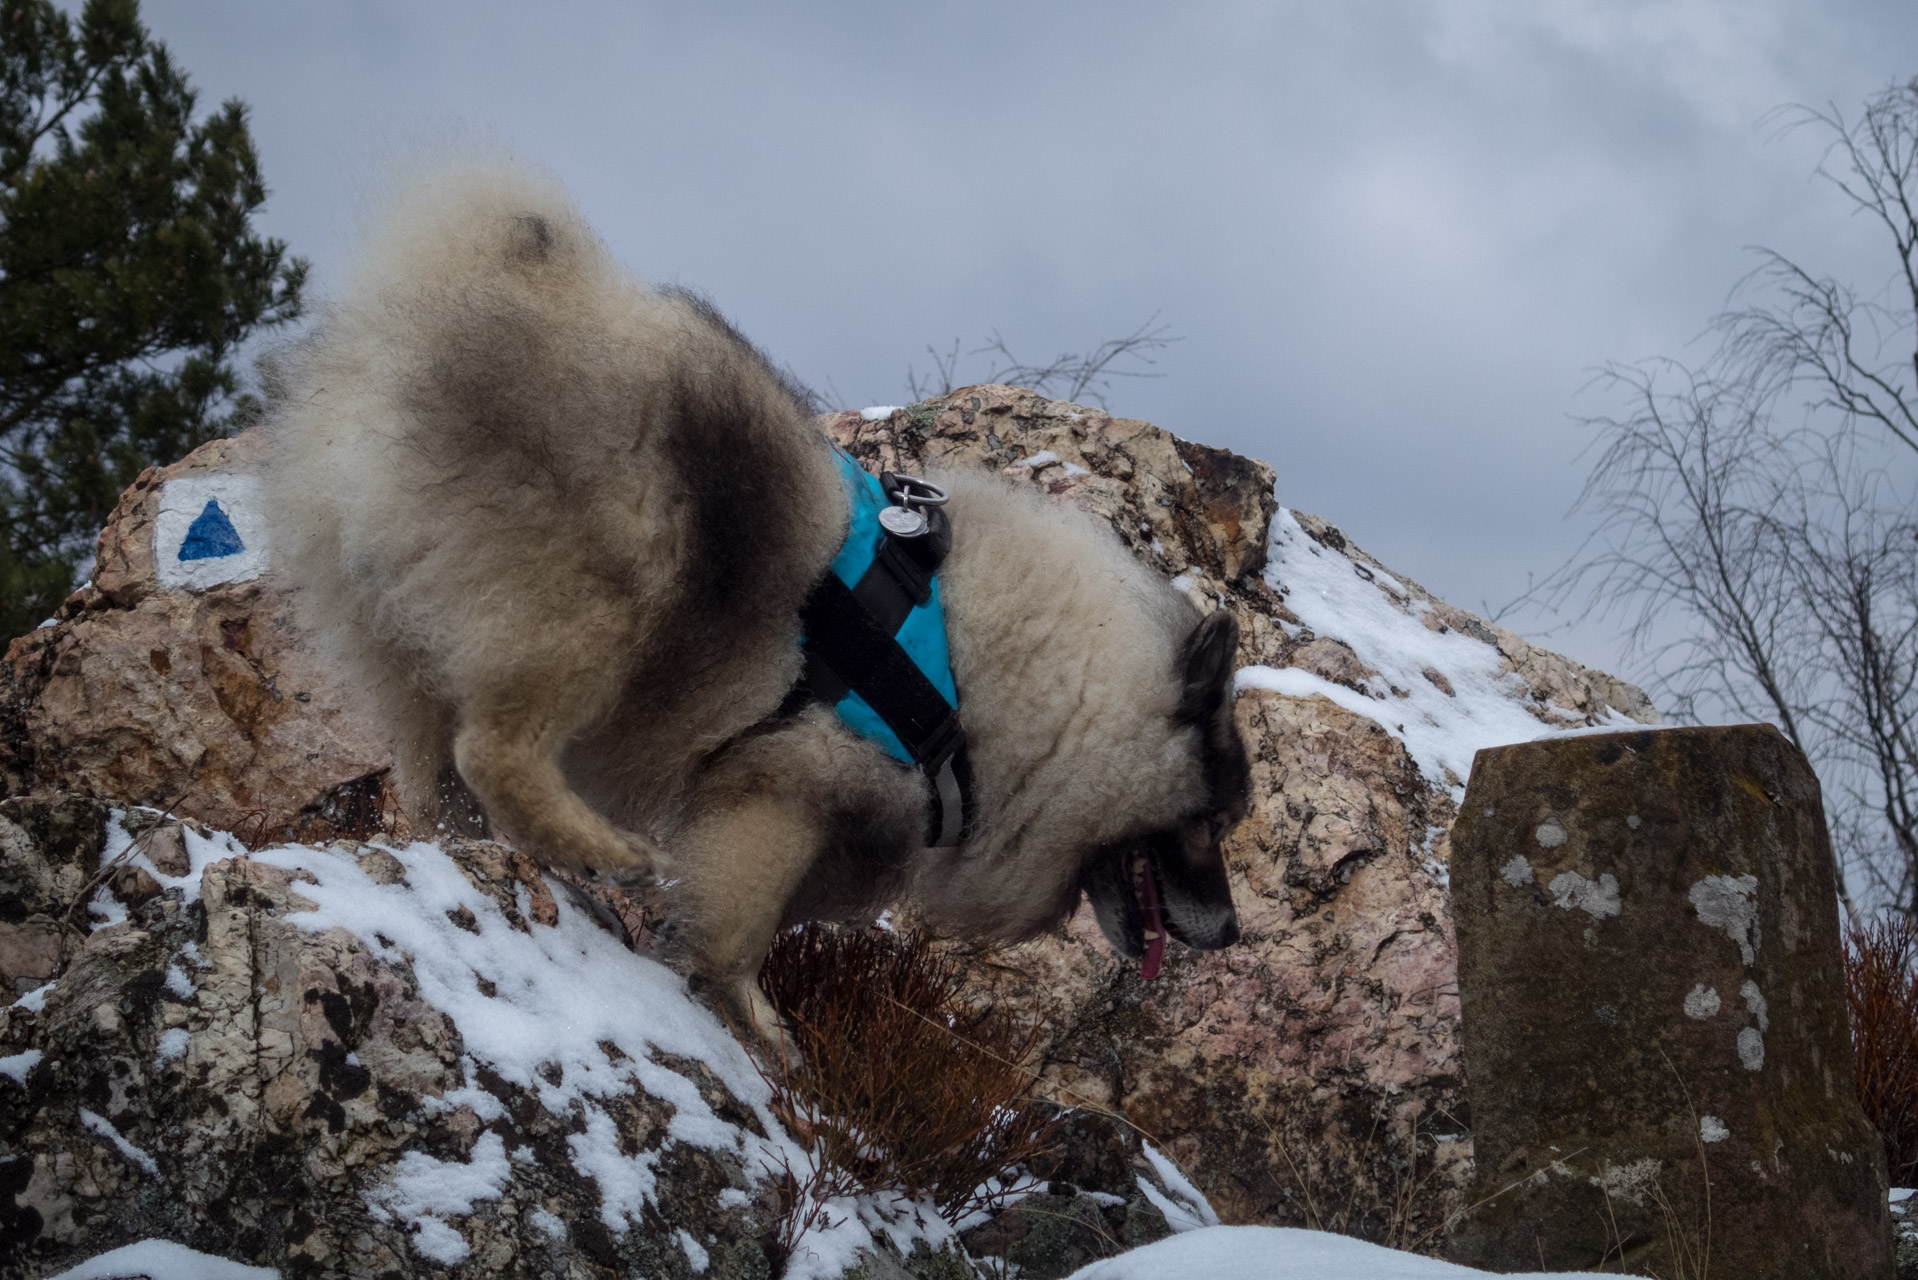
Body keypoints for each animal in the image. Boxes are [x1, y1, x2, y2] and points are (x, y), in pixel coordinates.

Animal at [262, 163, 1250, 1043]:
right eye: (1212, 823)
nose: (1234, 930)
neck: (1019, 684)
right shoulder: (786, 792)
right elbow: (741, 929)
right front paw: (757, 1022)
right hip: (606, 607)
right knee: (496, 749)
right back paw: (601, 850)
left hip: (406, 631)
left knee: (435, 774)